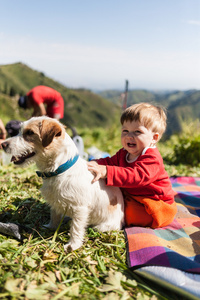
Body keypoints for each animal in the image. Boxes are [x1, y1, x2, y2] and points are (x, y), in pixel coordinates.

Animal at [0, 116, 124, 251]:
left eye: (29, 133)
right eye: (19, 130)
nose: (3, 144)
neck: (59, 170)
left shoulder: (80, 209)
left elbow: (76, 228)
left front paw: (73, 245)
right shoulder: (54, 202)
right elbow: (54, 215)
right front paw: (51, 227)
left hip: (102, 226)